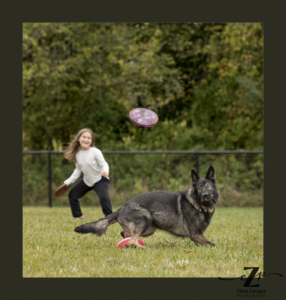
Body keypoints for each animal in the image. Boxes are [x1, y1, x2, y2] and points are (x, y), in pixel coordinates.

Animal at [74, 165, 219, 247]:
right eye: (199, 188)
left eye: (208, 186)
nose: (205, 195)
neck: (201, 206)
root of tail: (121, 208)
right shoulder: (195, 235)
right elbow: (213, 245)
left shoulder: (197, 236)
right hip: (146, 218)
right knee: (132, 242)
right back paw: (143, 247)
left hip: (149, 229)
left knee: (125, 234)